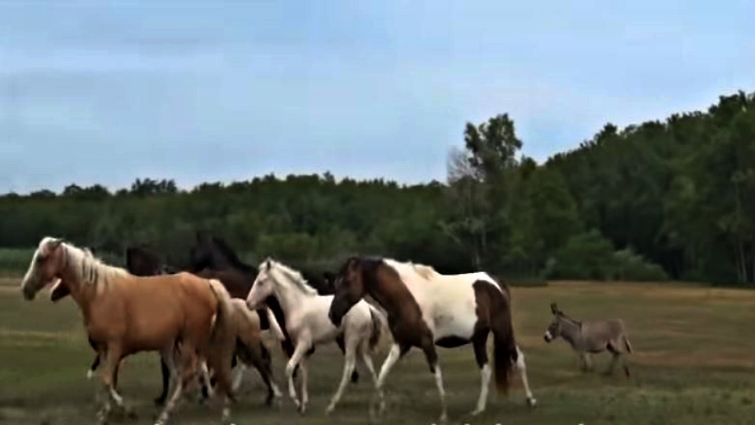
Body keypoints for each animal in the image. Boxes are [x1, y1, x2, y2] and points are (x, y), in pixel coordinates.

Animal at [19, 237, 237, 425]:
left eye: (40, 259)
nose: (26, 289)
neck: (99, 294)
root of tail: (208, 283)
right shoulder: (103, 349)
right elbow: (106, 381)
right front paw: (104, 414)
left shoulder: (115, 347)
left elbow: (108, 380)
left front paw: (126, 411)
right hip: (181, 344)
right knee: (189, 372)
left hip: (189, 341)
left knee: (188, 373)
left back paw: (166, 415)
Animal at [245, 258, 387, 415]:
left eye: (260, 282)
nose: (248, 303)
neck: (297, 305)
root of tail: (368, 307)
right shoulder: (305, 348)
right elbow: (303, 371)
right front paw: (303, 405)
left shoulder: (303, 344)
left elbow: (290, 367)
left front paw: (296, 401)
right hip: (362, 344)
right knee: (371, 367)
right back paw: (381, 405)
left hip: (351, 339)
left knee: (349, 368)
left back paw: (331, 406)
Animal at [328, 256, 537, 424]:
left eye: (347, 282)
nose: (332, 315)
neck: (406, 297)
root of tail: (495, 282)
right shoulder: (401, 344)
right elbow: (382, 374)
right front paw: (377, 409)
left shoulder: (427, 343)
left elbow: (437, 375)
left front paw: (443, 414)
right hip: (479, 338)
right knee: (485, 369)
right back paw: (478, 410)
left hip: (502, 330)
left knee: (518, 359)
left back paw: (530, 400)